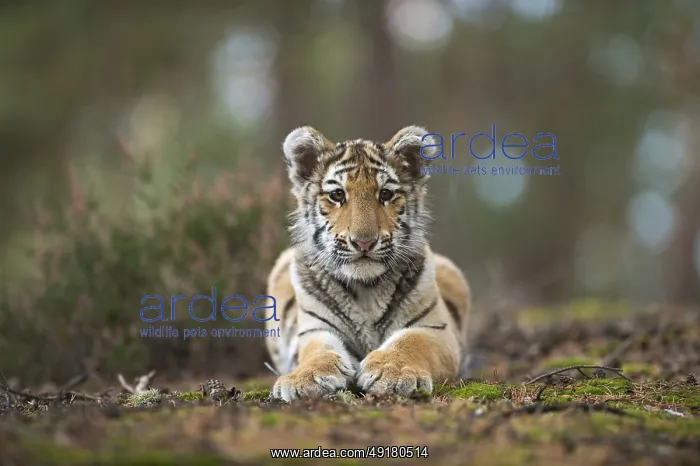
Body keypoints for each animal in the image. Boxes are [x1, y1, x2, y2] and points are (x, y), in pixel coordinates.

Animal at [264, 125, 471, 402]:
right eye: (337, 195)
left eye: (385, 194)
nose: (364, 242)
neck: (366, 290)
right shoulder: (316, 329)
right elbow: (317, 352)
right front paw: (304, 378)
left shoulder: (435, 328)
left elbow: (410, 342)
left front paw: (392, 372)